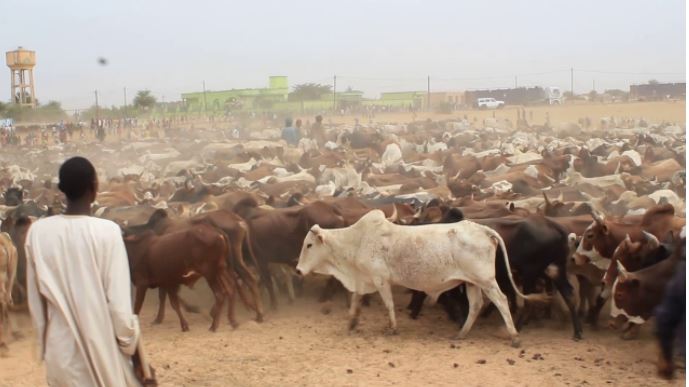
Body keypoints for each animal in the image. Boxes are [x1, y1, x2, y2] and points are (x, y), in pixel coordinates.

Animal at [294, 211, 548, 348]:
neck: (357, 241)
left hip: (485, 280)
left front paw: (392, 328)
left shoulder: (380, 280)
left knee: (502, 301)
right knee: (475, 306)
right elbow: (355, 301)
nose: (297, 270)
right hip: (472, 283)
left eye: (309, 245)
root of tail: (484, 229)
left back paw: (514, 337)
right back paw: (461, 334)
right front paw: (351, 324)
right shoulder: (364, 280)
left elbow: (389, 305)